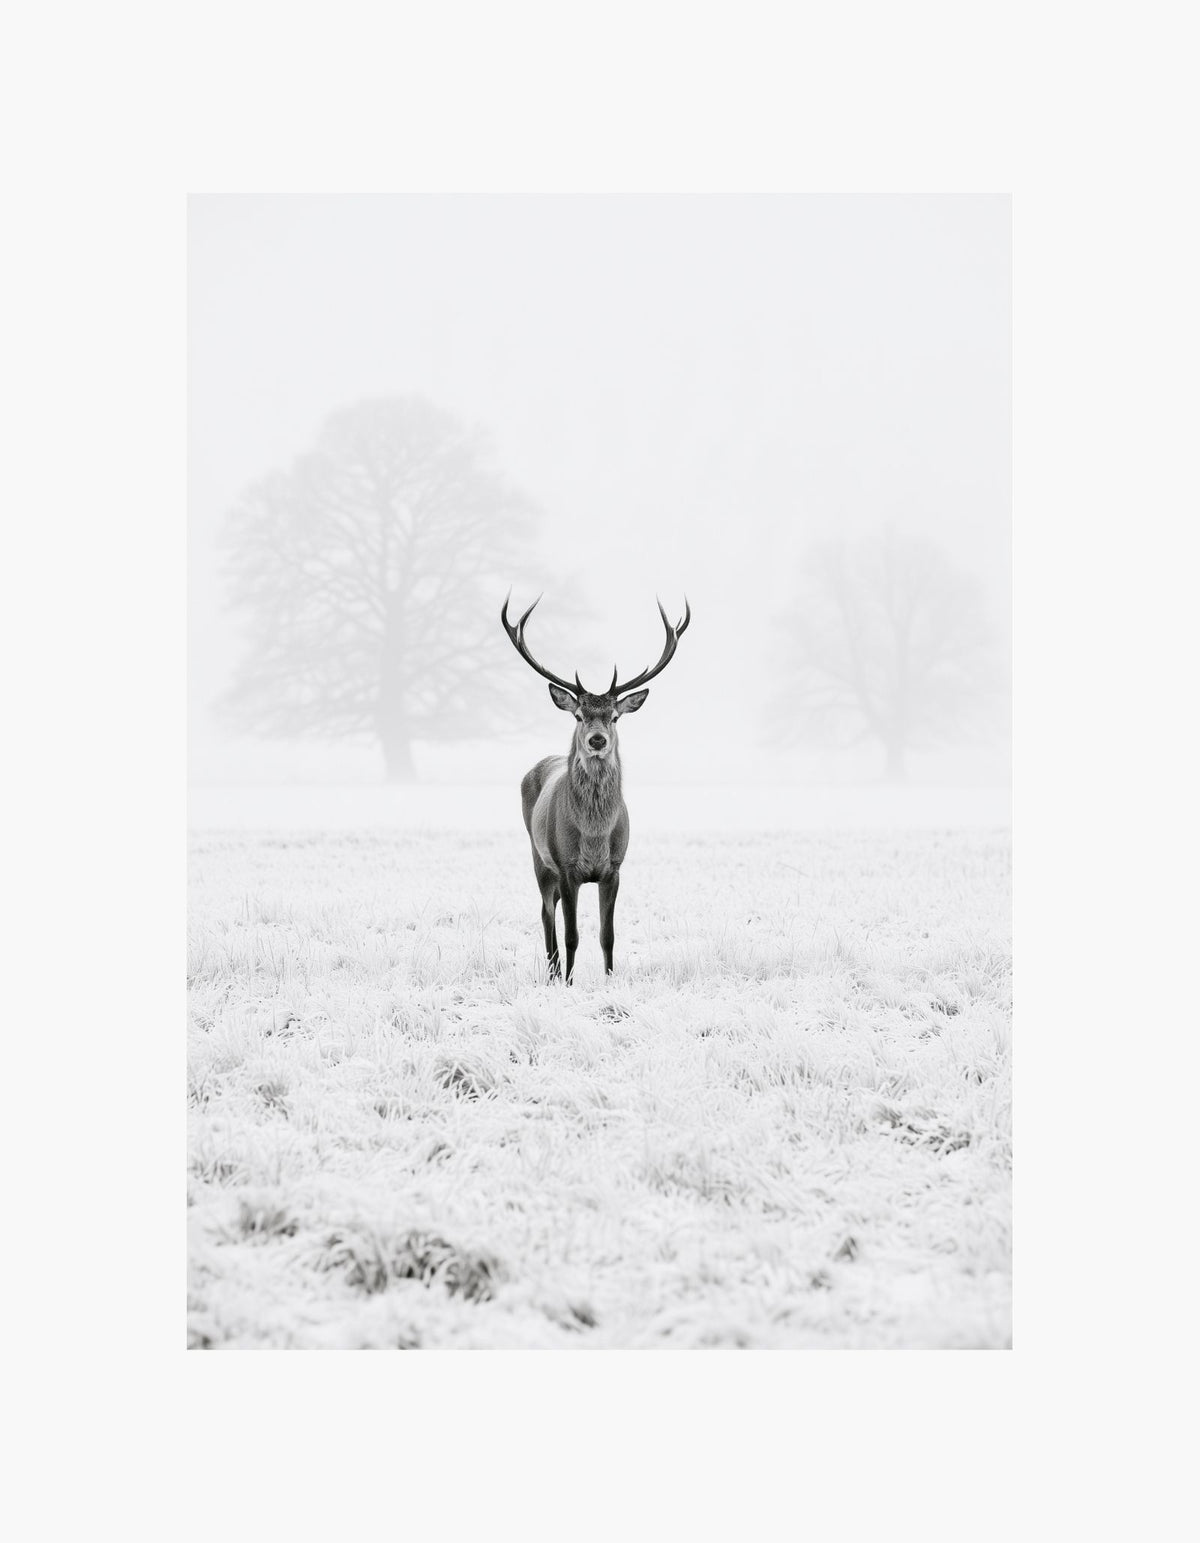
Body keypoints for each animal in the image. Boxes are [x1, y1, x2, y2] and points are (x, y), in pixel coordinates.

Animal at [501, 591, 691, 983]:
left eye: (615, 717)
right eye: (578, 715)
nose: (598, 740)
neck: (593, 834)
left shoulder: (614, 868)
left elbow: (608, 934)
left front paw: (609, 980)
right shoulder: (566, 866)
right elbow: (572, 934)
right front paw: (570, 983)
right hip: (538, 855)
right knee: (546, 913)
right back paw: (554, 973)